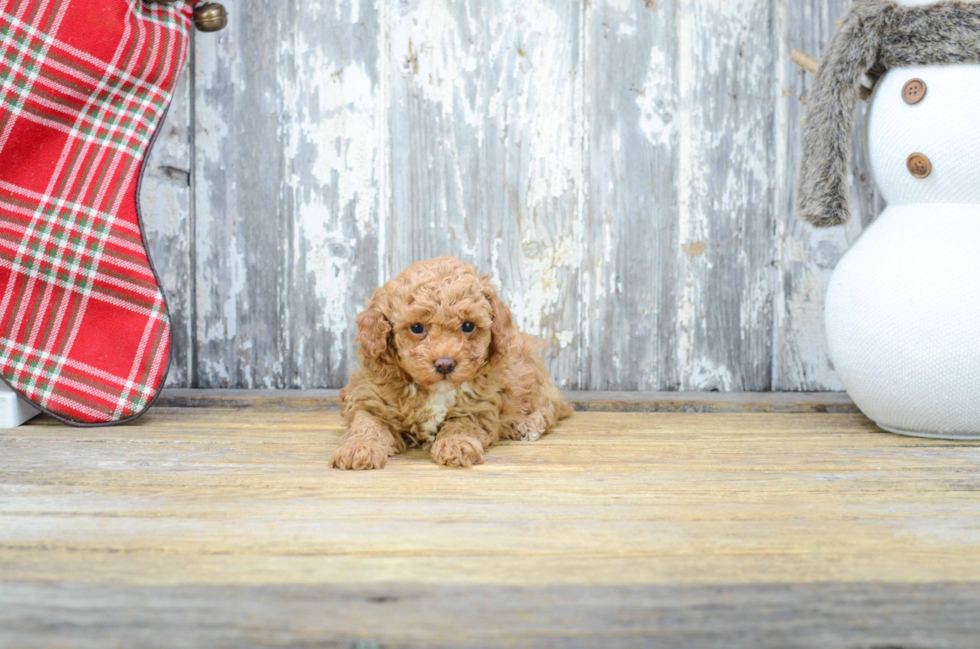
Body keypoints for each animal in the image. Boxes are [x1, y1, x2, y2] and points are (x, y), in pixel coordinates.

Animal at [334, 254, 572, 470]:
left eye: (468, 326)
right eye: (417, 328)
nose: (445, 364)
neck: (434, 391)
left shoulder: (479, 406)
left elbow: (461, 423)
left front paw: (456, 444)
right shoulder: (371, 399)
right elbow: (367, 424)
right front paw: (358, 448)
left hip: (534, 377)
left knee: (549, 406)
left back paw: (528, 425)